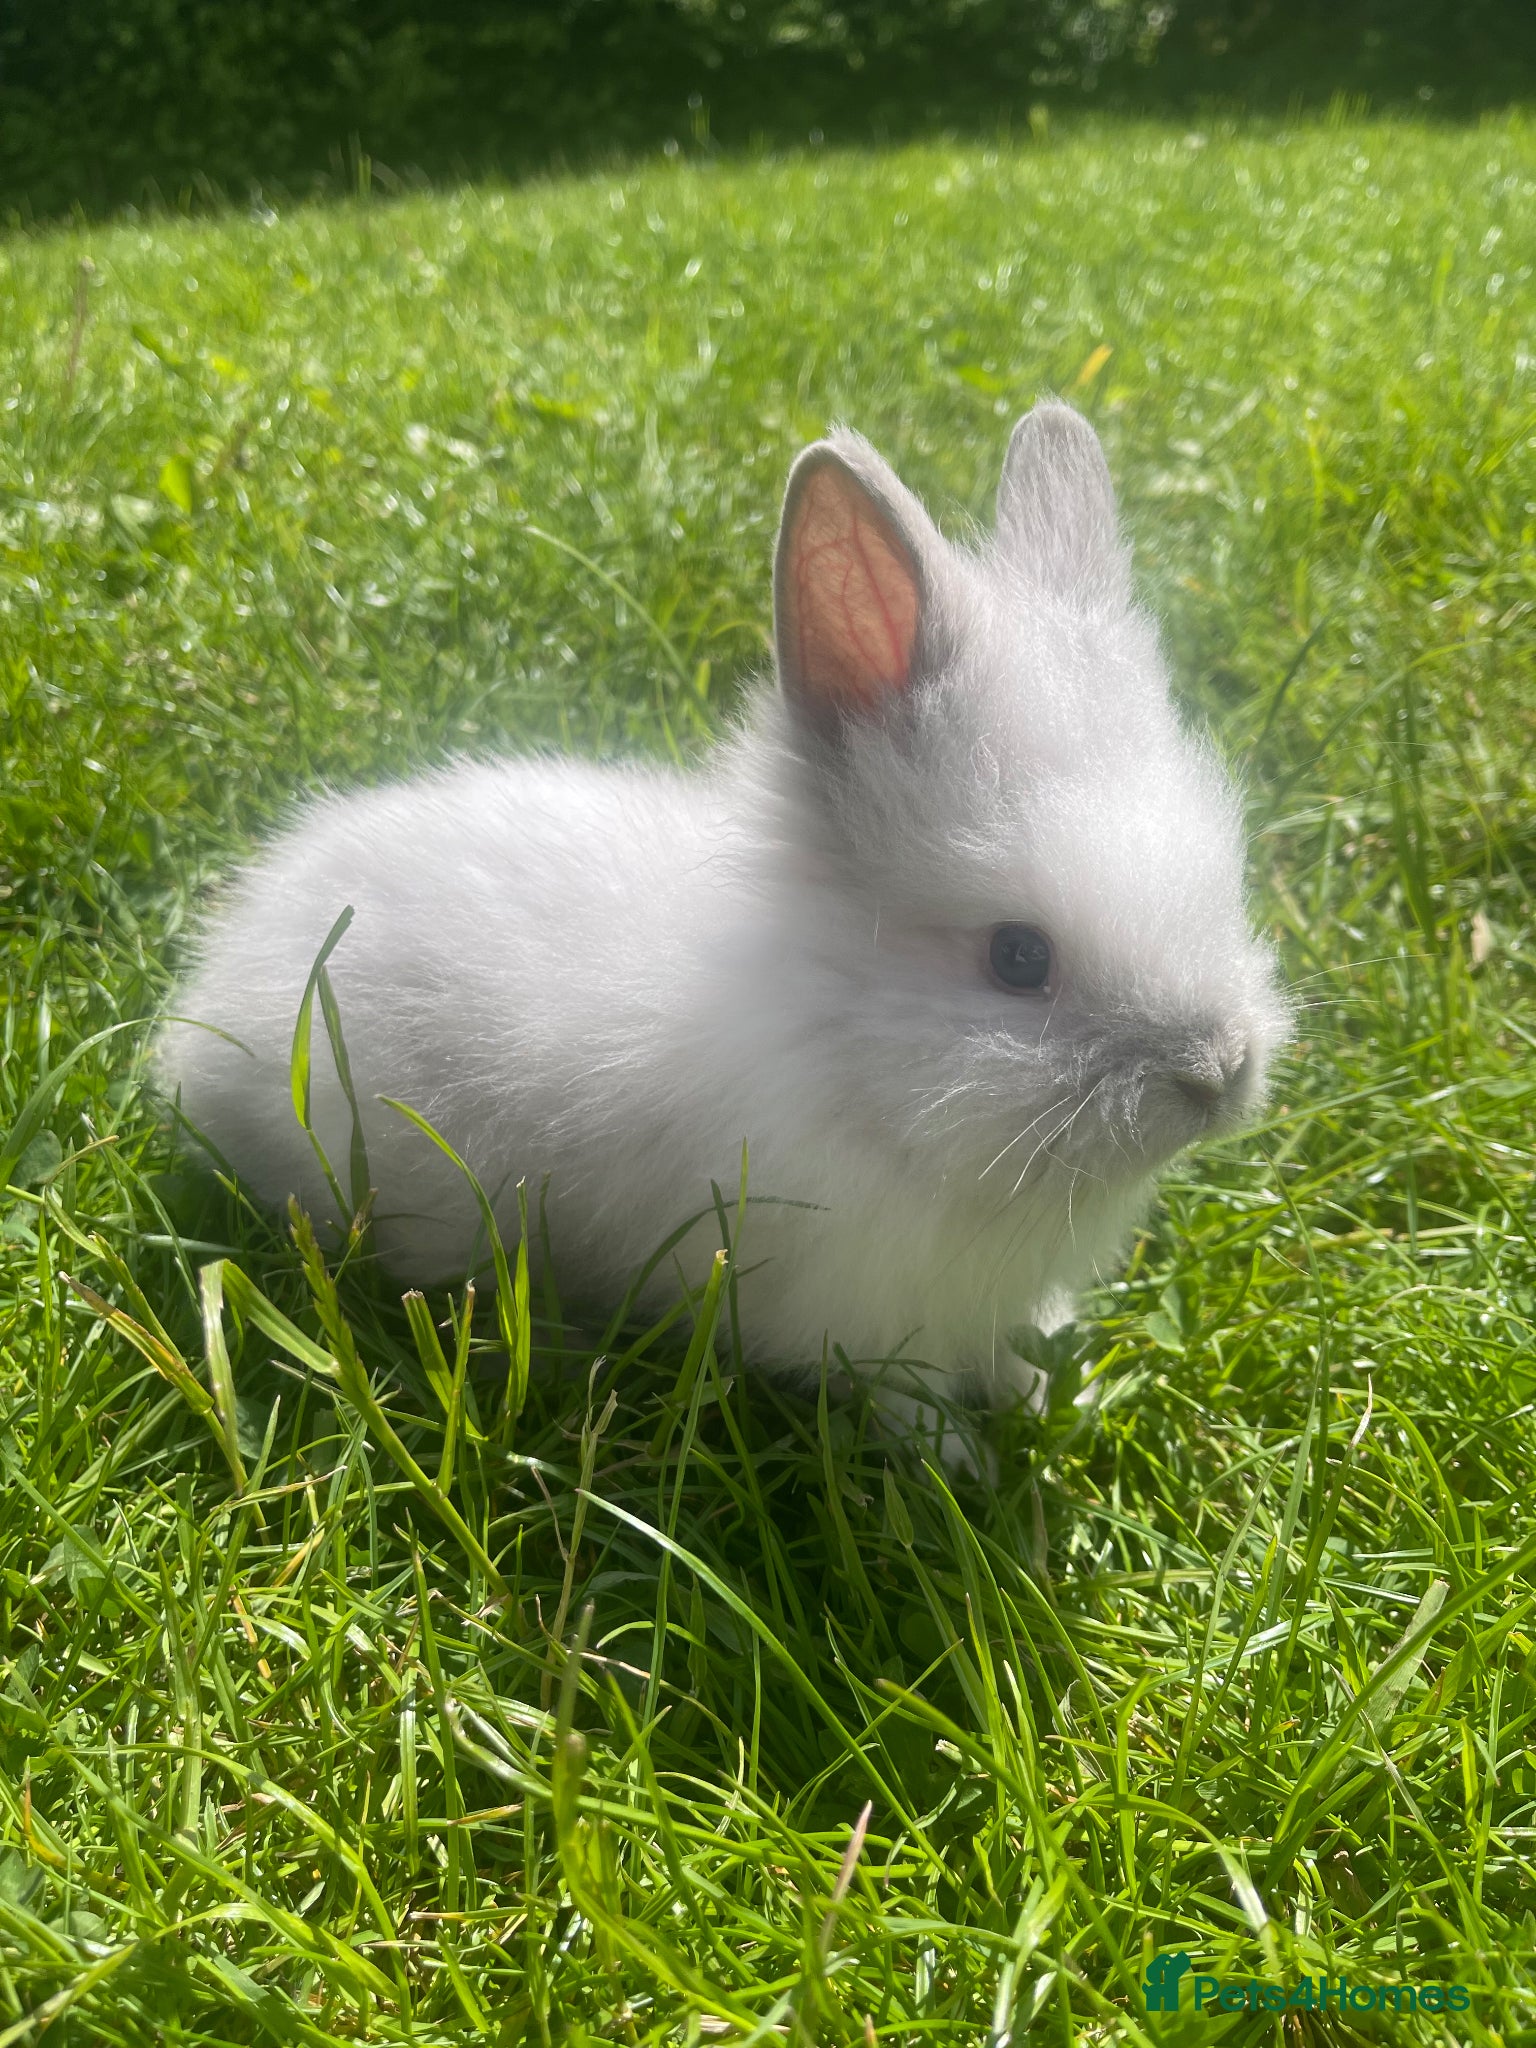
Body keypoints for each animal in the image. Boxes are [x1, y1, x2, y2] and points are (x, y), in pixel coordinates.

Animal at [157, 400, 1288, 1455]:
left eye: (1224, 877)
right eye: (1018, 956)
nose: (1218, 1071)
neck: (841, 1048)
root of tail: (203, 1003)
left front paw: (1051, 1395)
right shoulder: (859, 1311)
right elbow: (905, 1393)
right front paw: (961, 1460)